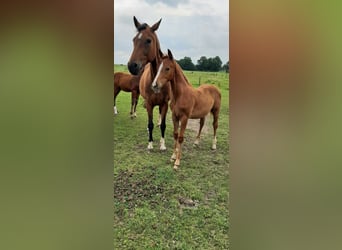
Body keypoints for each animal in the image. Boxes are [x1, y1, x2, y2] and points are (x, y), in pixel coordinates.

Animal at [127, 17, 171, 151]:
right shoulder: (150, 103)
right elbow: (150, 123)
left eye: (148, 40)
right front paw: (150, 143)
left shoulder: (164, 104)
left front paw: (162, 144)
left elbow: (163, 125)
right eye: (134, 39)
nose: (132, 66)